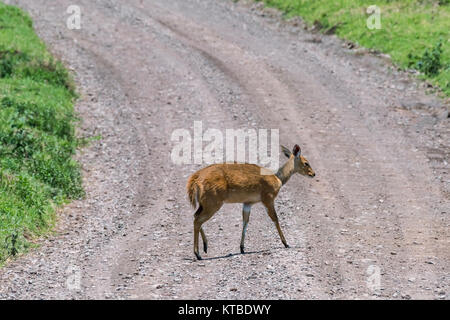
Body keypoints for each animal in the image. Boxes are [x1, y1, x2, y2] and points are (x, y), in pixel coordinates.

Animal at [185, 145, 314, 260]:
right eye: (306, 162)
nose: (313, 174)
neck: (277, 178)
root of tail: (195, 178)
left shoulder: (248, 203)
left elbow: (245, 221)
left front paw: (242, 248)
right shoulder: (268, 198)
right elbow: (275, 218)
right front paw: (286, 243)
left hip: (204, 204)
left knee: (195, 216)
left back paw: (205, 247)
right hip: (213, 203)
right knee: (198, 220)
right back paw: (198, 254)